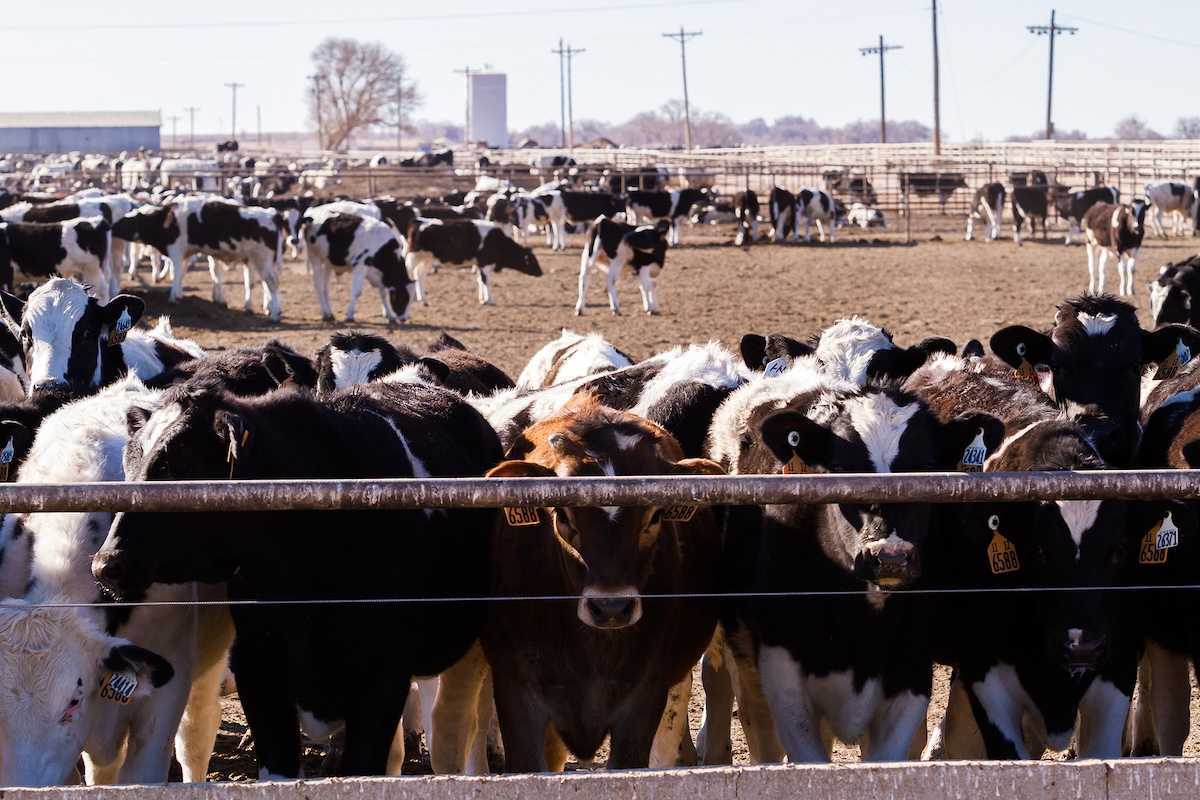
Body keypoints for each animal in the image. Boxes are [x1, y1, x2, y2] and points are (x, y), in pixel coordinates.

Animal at [111, 197, 285, 320]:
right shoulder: (186, 253)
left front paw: (173, 297)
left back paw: (274, 314)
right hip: (263, 261)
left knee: (272, 283)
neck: (167, 220)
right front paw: (179, 294)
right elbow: (181, 274)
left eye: (131, 219)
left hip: (262, 260)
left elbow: (176, 272)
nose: (113, 226)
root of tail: (271, 214)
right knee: (266, 283)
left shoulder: (176, 250)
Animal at [405, 219, 541, 306]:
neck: (496, 240)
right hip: (413, 257)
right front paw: (489, 300)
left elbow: (480, 280)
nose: (541, 273)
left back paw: (423, 299)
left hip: (426, 259)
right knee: (411, 273)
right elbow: (486, 281)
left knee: (420, 275)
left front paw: (482, 299)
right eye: (531, 260)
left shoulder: (480, 264)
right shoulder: (485, 263)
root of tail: (418, 222)